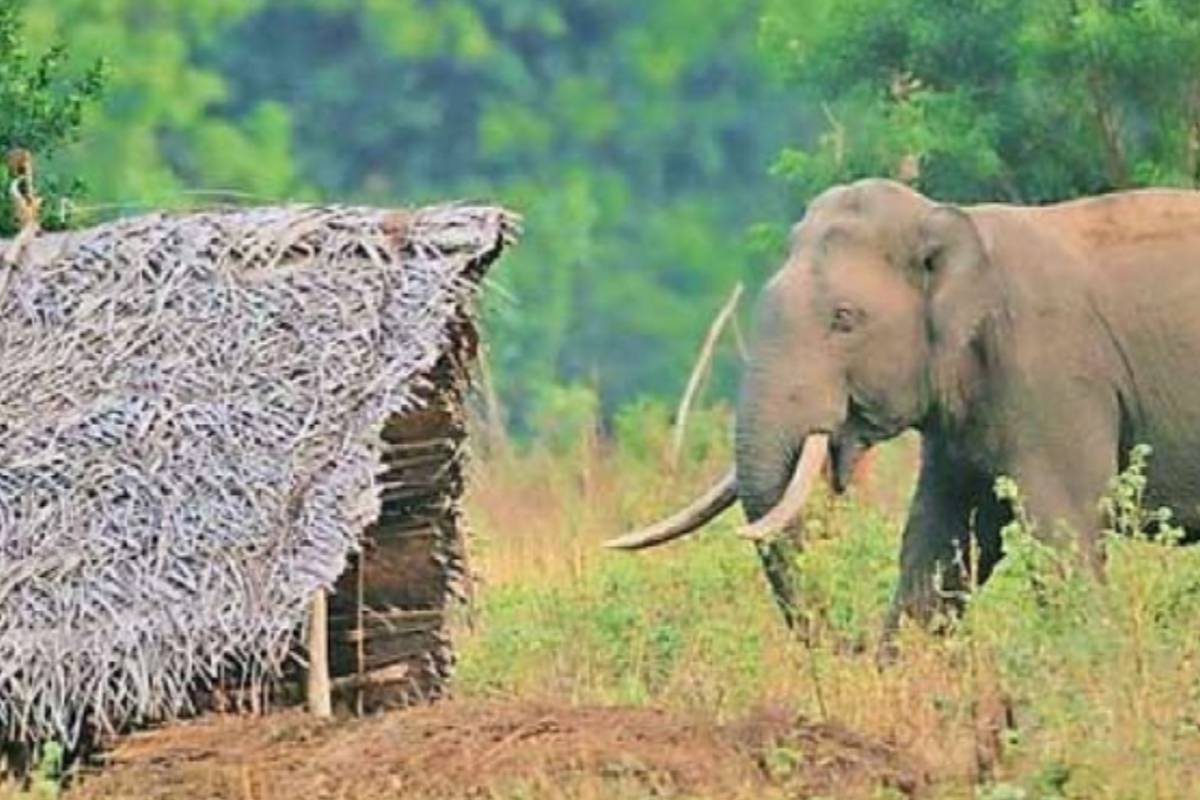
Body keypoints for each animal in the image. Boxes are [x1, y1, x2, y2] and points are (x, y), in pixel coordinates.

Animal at [607, 177, 1200, 637]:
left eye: (844, 318)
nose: (845, 643)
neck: (955, 220)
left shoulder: (1054, 374)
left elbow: (1064, 526)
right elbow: (943, 535)